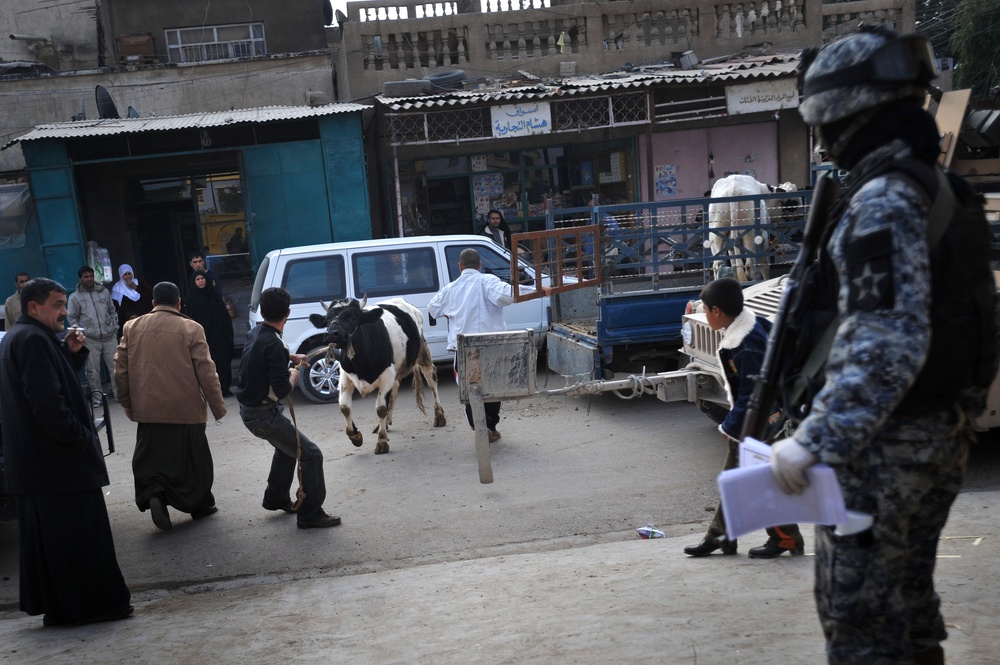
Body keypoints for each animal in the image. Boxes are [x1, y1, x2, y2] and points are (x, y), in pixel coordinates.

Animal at [306, 298, 444, 454]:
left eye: (352, 317)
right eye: (328, 319)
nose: (331, 333)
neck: (361, 364)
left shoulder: (387, 375)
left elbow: (381, 408)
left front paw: (382, 441)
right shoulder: (345, 377)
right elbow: (344, 407)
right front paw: (356, 437)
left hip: (422, 350)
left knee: (431, 379)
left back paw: (439, 415)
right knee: (395, 389)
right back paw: (384, 423)